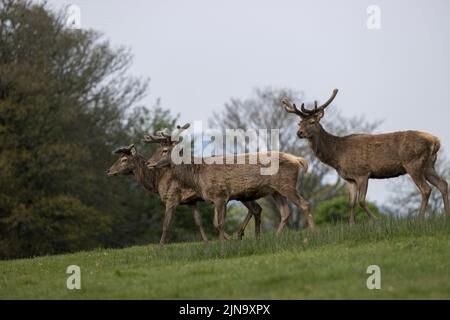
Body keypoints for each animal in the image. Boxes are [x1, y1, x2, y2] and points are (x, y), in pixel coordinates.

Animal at [284, 87, 448, 222]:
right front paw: (351, 226)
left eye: (312, 121)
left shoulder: (362, 173)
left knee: (426, 189)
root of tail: (435, 141)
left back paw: (419, 220)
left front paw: (377, 221)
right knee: (443, 184)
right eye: (299, 123)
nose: (299, 133)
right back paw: (445, 215)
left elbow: (361, 201)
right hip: (428, 165)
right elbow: (350, 203)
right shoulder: (349, 179)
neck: (337, 155)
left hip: (413, 163)